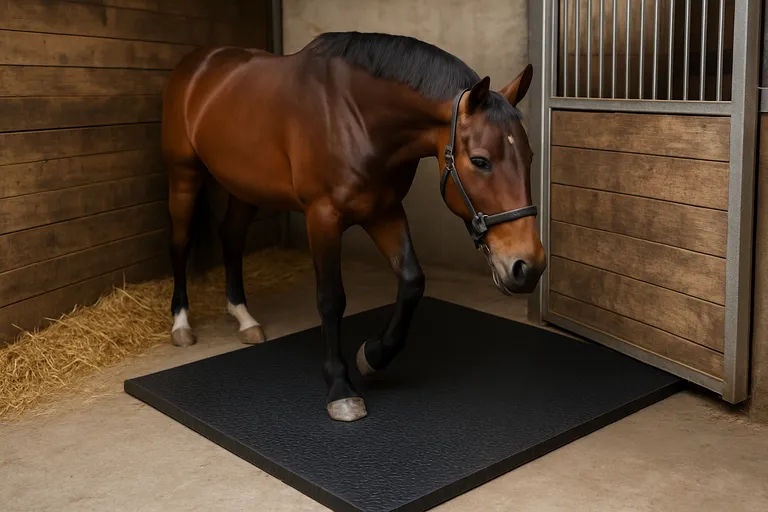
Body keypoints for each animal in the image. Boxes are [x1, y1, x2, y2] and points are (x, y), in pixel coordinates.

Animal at [161, 31, 546, 422]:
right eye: (481, 161)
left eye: (529, 156)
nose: (528, 266)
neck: (355, 117)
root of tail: (198, 63)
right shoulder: (323, 217)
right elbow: (331, 299)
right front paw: (341, 388)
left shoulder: (384, 211)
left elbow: (412, 282)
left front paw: (373, 356)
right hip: (183, 175)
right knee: (180, 242)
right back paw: (181, 324)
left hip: (245, 185)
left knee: (231, 237)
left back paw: (244, 318)